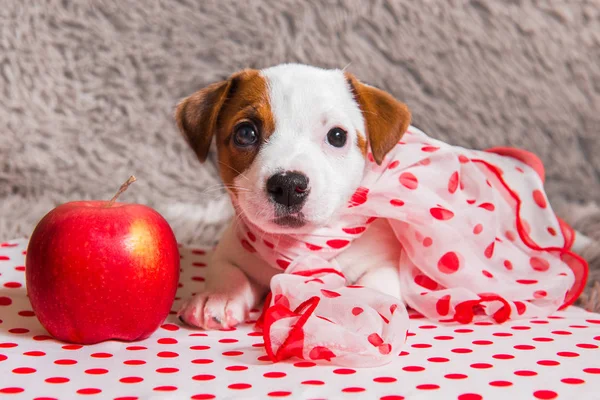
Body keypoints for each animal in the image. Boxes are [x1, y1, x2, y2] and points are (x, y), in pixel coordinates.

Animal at [175, 63, 592, 332]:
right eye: (246, 133)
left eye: (337, 136)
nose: (289, 184)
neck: (305, 246)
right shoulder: (232, 249)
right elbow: (229, 271)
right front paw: (219, 297)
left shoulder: (383, 262)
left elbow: (373, 283)